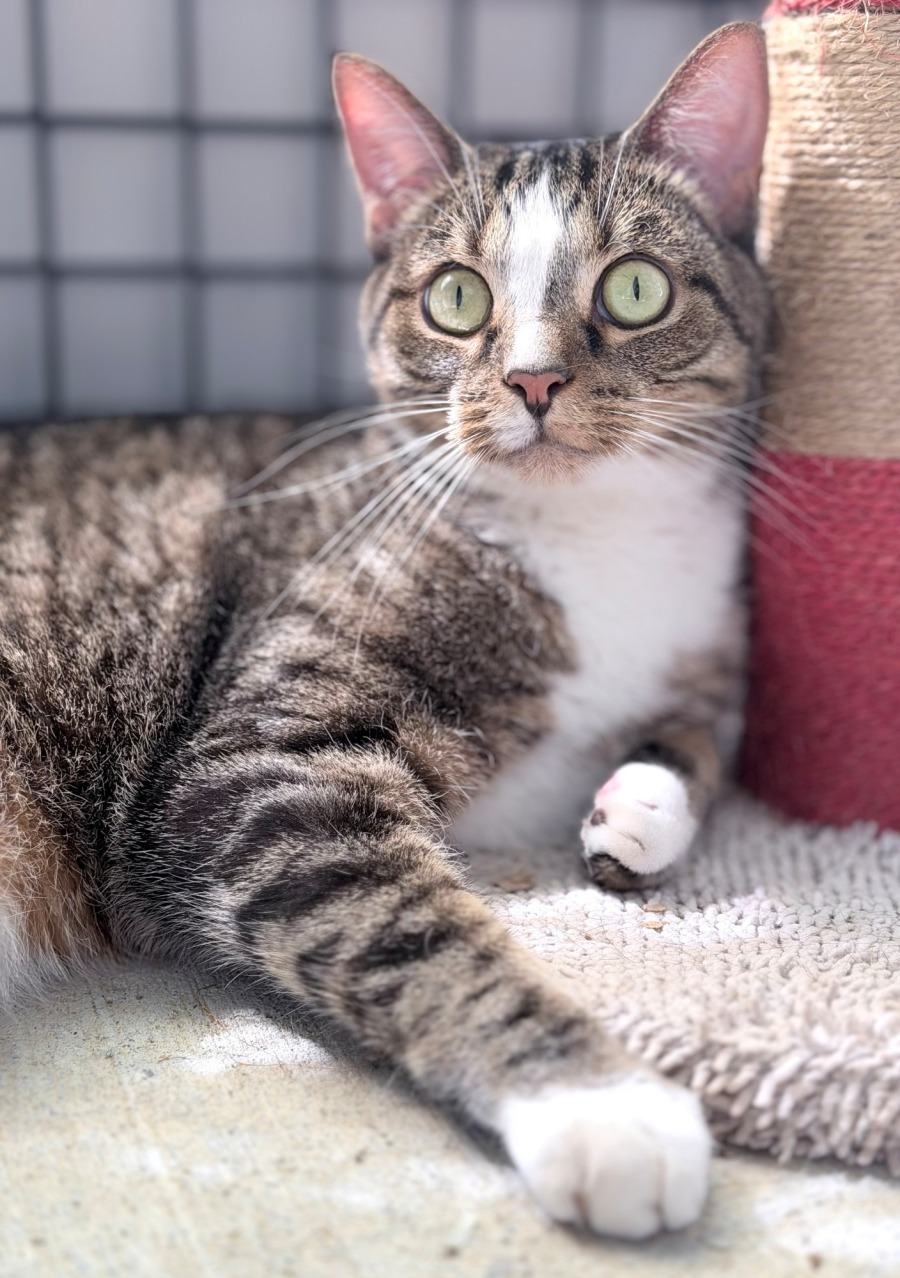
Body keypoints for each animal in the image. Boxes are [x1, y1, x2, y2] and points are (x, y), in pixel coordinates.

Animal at [0, 22, 769, 1240]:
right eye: (454, 298)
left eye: (637, 288)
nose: (533, 380)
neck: (588, 542)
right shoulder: (259, 765)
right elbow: (413, 928)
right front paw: (602, 1104)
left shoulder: (707, 651)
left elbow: (709, 735)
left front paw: (636, 807)